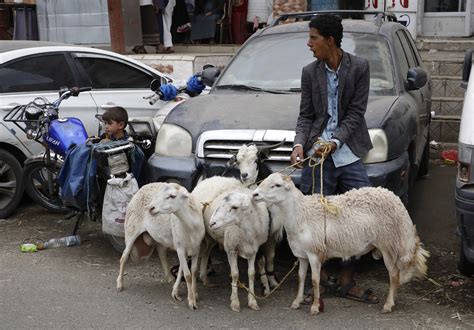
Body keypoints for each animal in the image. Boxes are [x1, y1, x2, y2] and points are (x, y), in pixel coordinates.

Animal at [254, 173, 432, 314]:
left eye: (276, 185)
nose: (255, 194)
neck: (301, 213)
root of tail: (397, 201)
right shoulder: (302, 254)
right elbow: (301, 277)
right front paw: (297, 302)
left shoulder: (315, 253)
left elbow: (315, 280)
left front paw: (315, 307)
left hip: (388, 244)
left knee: (394, 275)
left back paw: (388, 305)